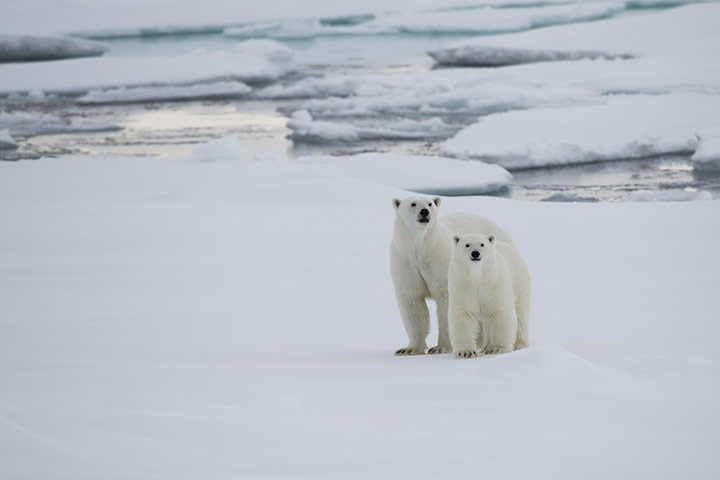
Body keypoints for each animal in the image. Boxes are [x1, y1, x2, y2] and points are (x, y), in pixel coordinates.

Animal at [390, 196, 516, 356]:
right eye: (413, 204)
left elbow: (446, 299)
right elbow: (412, 302)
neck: (421, 249)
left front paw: (441, 347)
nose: (424, 212)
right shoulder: (405, 261)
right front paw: (408, 349)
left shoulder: (440, 260)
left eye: (430, 203)